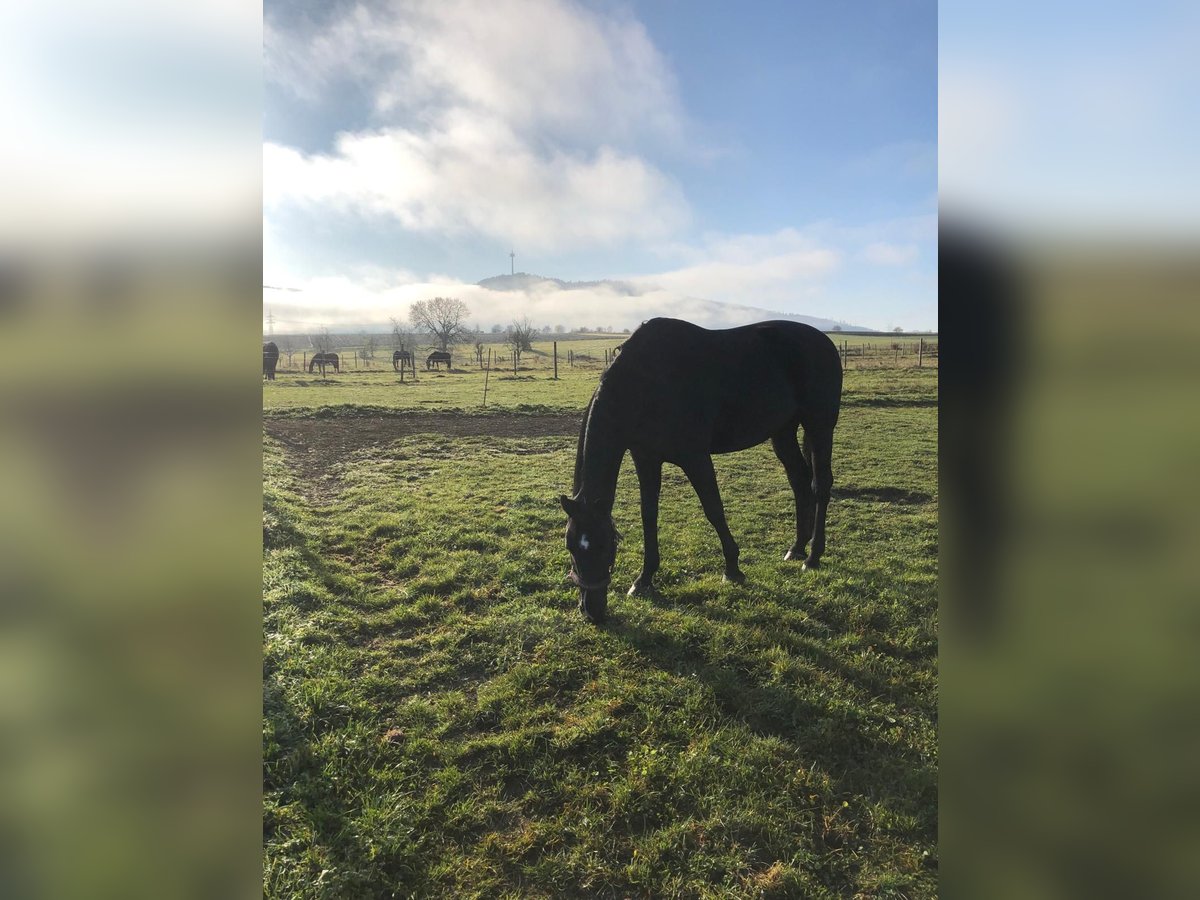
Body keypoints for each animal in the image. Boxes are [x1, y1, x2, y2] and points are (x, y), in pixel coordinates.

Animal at [561, 319, 844, 628]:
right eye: (571, 547)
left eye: (605, 546)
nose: (592, 611)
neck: (646, 382)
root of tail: (823, 341)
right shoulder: (646, 458)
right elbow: (649, 515)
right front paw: (644, 579)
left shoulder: (695, 457)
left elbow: (713, 509)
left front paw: (732, 569)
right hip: (783, 432)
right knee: (799, 482)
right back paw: (797, 548)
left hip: (819, 425)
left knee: (820, 485)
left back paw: (813, 557)